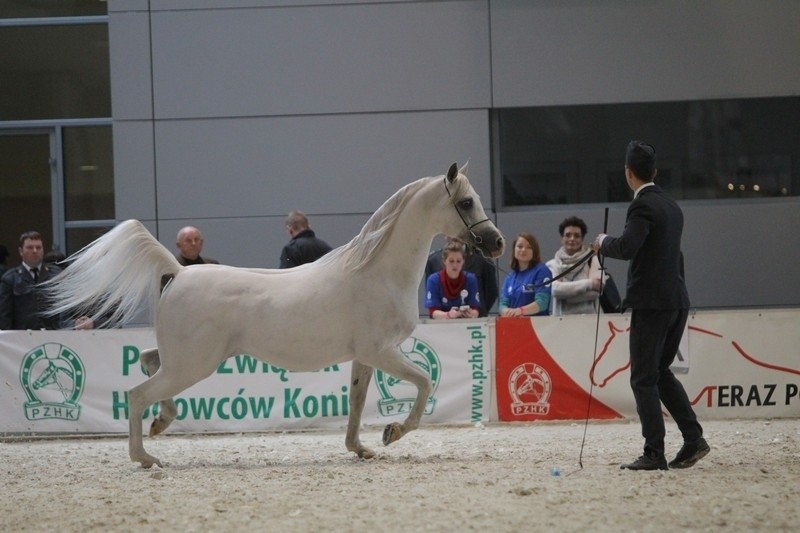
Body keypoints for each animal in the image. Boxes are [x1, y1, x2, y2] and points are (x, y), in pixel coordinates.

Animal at [47, 162, 504, 466]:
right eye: (466, 201)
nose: (497, 243)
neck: (376, 272)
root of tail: (178, 271)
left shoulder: (365, 356)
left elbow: (357, 402)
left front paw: (361, 448)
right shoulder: (382, 351)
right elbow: (425, 383)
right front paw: (393, 434)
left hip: (183, 361)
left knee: (146, 362)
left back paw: (162, 423)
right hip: (193, 365)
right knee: (137, 394)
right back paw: (146, 457)